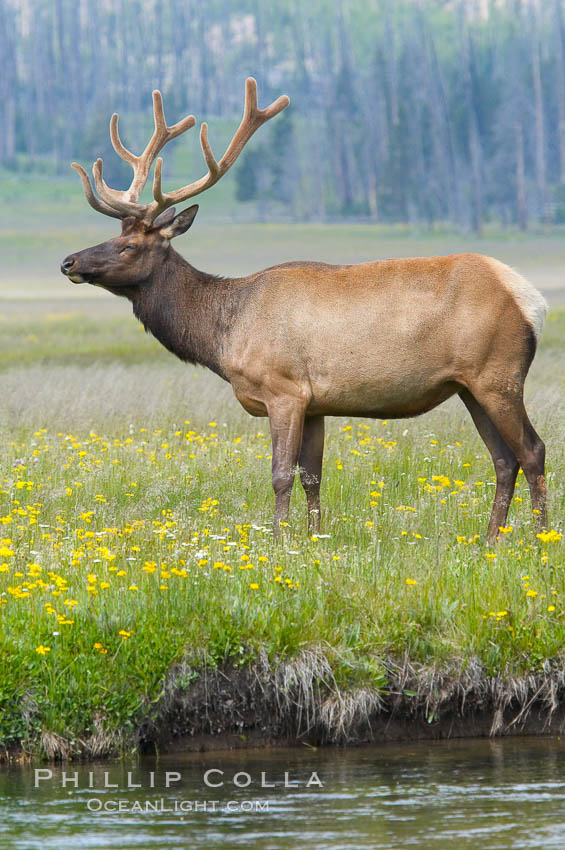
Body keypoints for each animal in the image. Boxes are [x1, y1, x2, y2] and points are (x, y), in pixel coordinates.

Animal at [60, 79, 548, 544]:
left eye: (129, 245)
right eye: (113, 235)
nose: (69, 261)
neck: (225, 335)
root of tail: (532, 300)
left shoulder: (284, 390)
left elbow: (280, 475)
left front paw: (279, 541)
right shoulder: (315, 403)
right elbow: (312, 476)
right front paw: (315, 539)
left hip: (499, 375)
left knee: (532, 450)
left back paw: (540, 537)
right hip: (469, 386)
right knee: (503, 459)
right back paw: (490, 540)